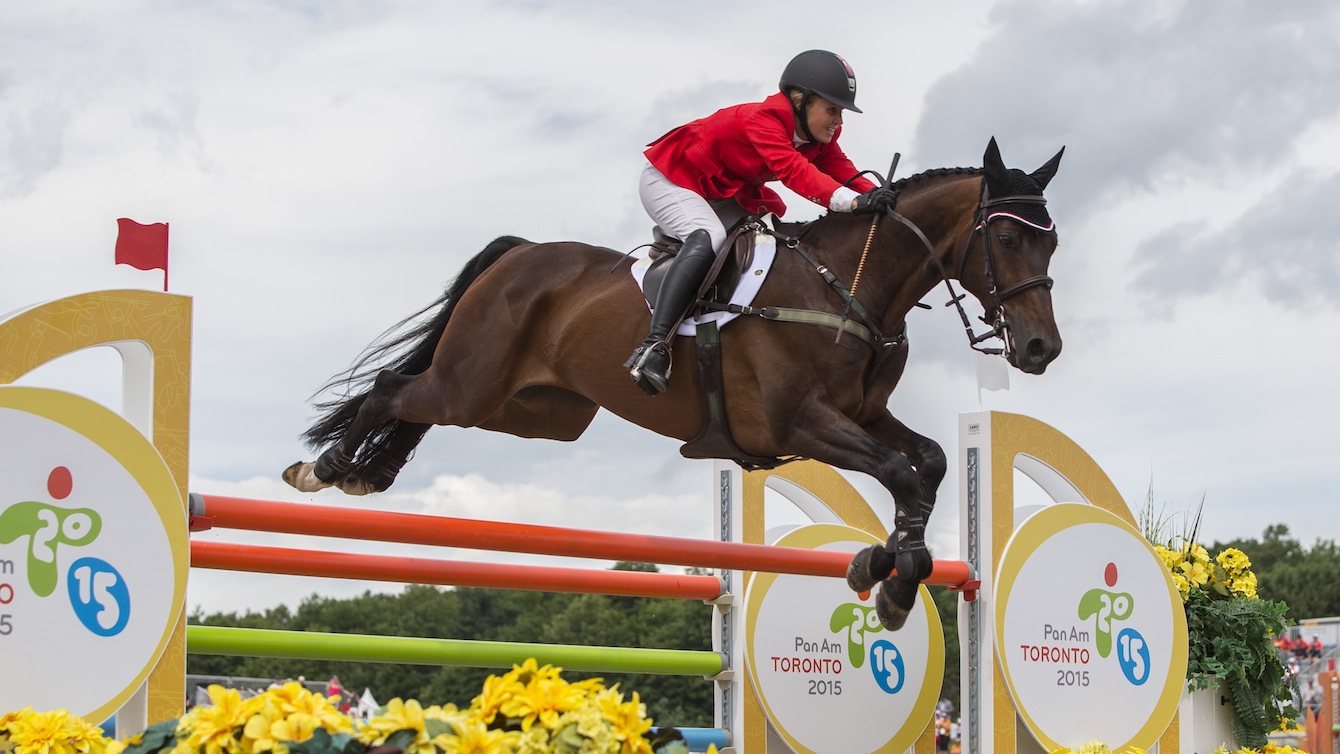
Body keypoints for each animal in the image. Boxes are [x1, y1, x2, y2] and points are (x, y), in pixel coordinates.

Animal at [282, 137, 1066, 632]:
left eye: (1052, 240)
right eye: (1004, 237)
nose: (1040, 349)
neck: (847, 285)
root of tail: (519, 256)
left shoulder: (863, 414)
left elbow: (926, 463)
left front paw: (890, 566)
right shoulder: (798, 422)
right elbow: (901, 473)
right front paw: (893, 580)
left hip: (526, 409)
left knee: (415, 405)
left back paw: (370, 470)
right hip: (472, 384)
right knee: (393, 387)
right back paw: (328, 469)